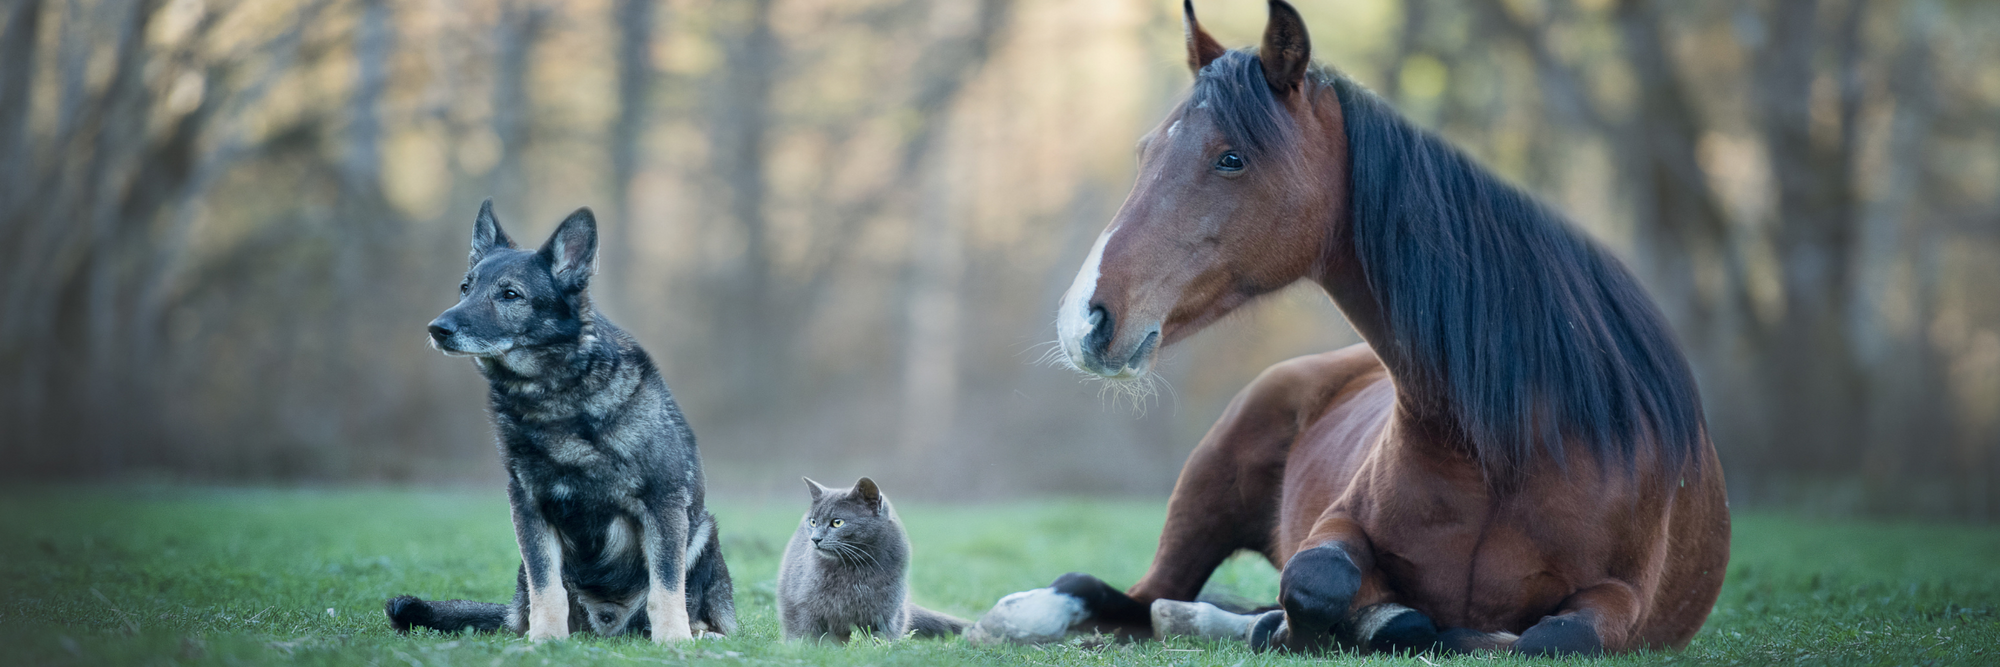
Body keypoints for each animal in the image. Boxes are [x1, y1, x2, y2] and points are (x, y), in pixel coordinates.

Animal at [382, 199, 736, 639]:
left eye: (510, 294)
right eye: (465, 288)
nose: (437, 329)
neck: (556, 395)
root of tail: (609, 625)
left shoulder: (664, 503)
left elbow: (667, 586)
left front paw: (674, 640)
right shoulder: (529, 508)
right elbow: (546, 585)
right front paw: (545, 640)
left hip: (702, 532)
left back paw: (701, 631)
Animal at [772, 473, 968, 639]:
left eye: (837, 522)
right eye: (812, 522)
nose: (815, 538)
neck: (854, 566)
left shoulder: (887, 614)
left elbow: (880, 640)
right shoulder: (804, 606)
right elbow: (807, 635)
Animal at [960, 0, 1728, 655]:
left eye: (1231, 157)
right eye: (1146, 151)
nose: (1085, 319)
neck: (1515, 441)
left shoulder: (1623, 598)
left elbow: (1549, 638)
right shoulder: (1336, 529)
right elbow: (1320, 582)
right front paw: (1357, 618)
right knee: (1135, 598)